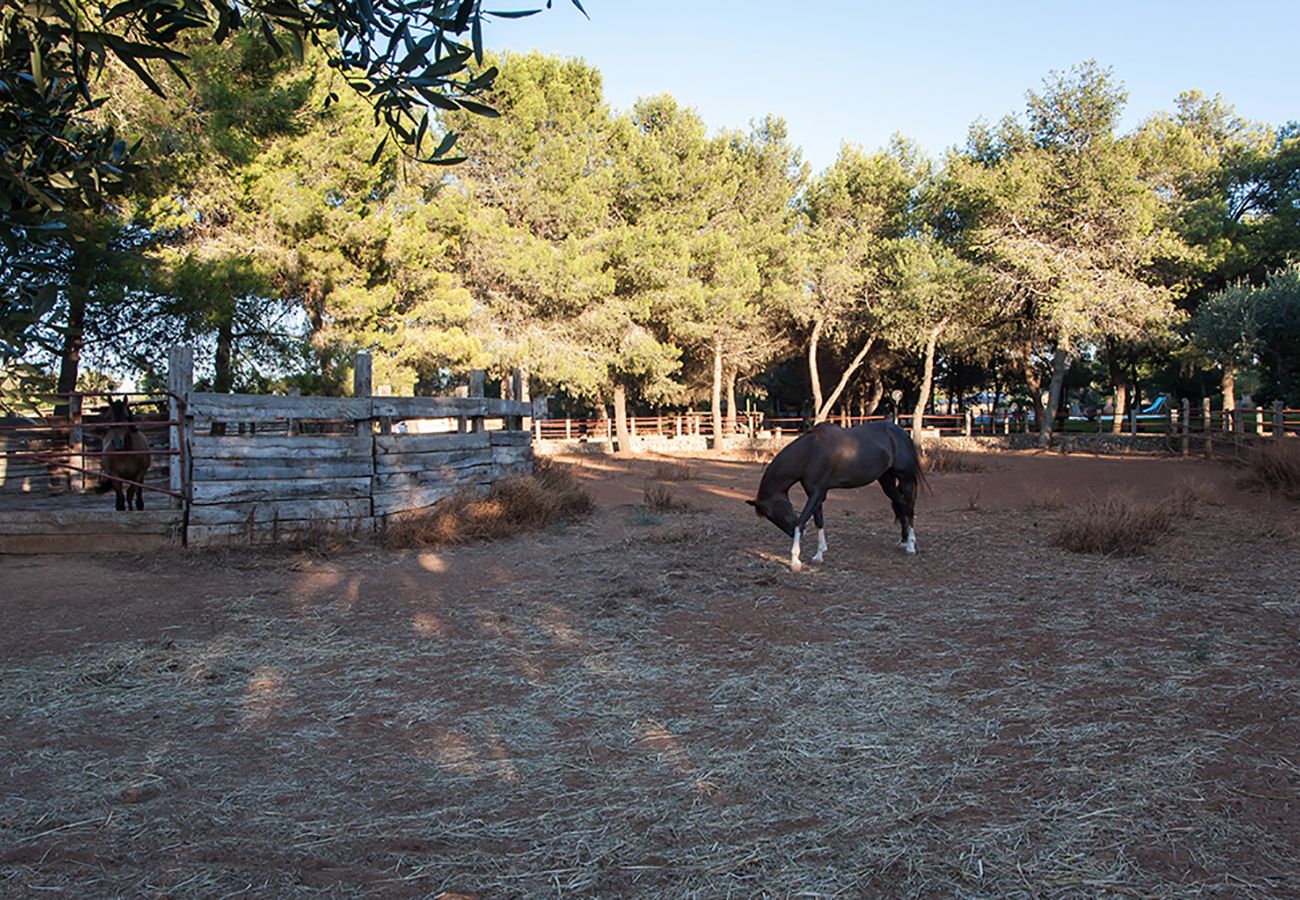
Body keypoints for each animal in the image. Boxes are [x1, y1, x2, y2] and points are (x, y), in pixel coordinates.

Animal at [748, 421, 930, 569]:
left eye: (770, 513)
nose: (791, 533)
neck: (811, 452)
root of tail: (902, 433)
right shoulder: (817, 493)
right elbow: (819, 521)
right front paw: (819, 554)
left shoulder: (816, 493)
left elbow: (801, 521)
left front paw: (795, 560)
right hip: (887, 481)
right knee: (900, 504)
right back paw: (904, 540)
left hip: (905, 479)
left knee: (909, 507)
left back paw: (911, 545)